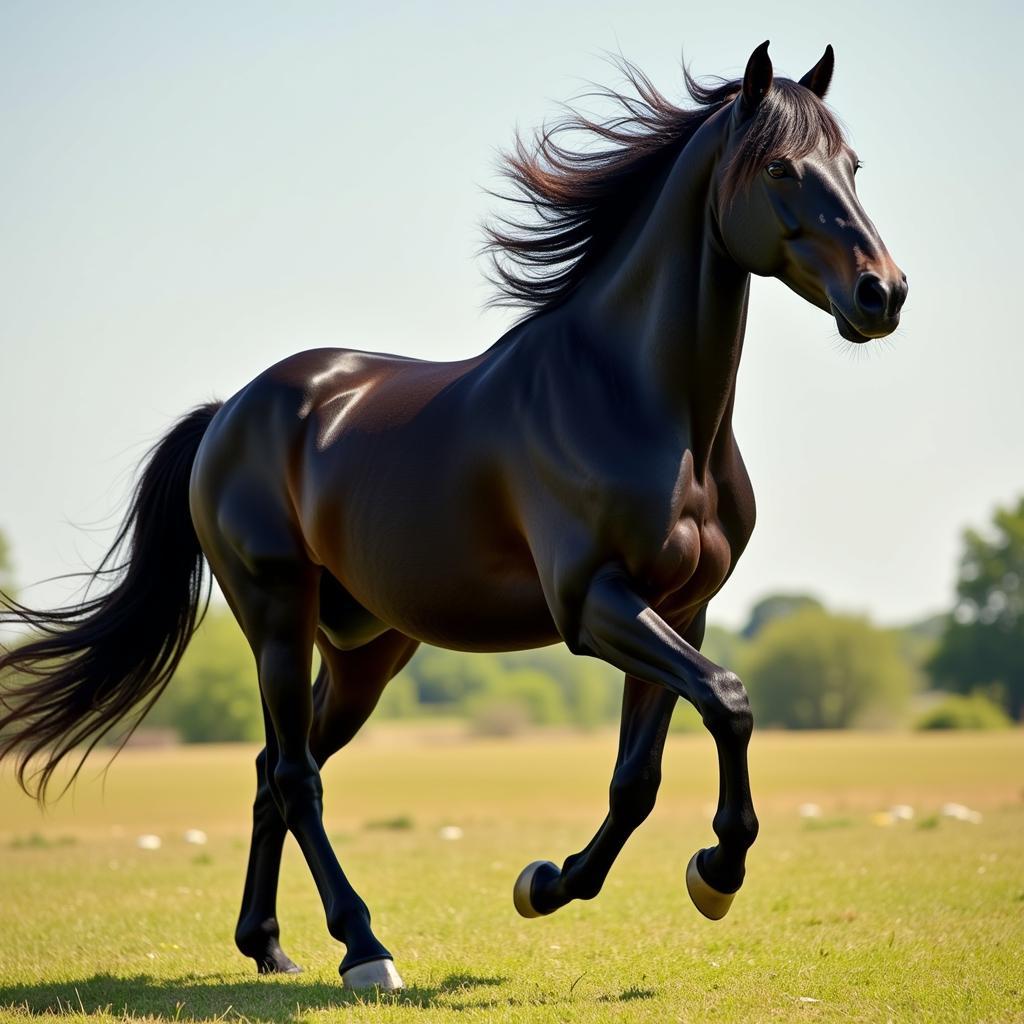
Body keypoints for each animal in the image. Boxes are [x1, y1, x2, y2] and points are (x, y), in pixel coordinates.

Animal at [0, 41, 909, 991]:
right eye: (780, 167)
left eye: (851, 166)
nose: (882, 294)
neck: (638, 401)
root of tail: (230, 412)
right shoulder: (595, 605)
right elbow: (729, 700)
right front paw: (715, 871)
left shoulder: (680, 607)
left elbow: (639, 776)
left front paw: (553, 883)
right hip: (277, 615)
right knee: (293, 775)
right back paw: (364, 948)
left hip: (365, 652)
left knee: (270, 771)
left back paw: (269, 946)